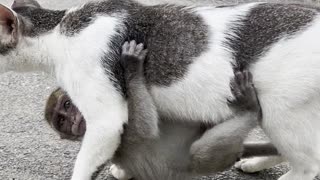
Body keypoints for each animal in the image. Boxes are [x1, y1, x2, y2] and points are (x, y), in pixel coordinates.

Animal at [44, 41, 278, 180]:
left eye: (66, 107)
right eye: (62, 122)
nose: (73, 121)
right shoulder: (117, 132)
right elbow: (144, 130)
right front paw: (132, 67)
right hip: (208, 162)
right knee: (199, 154)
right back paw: (249, 108)